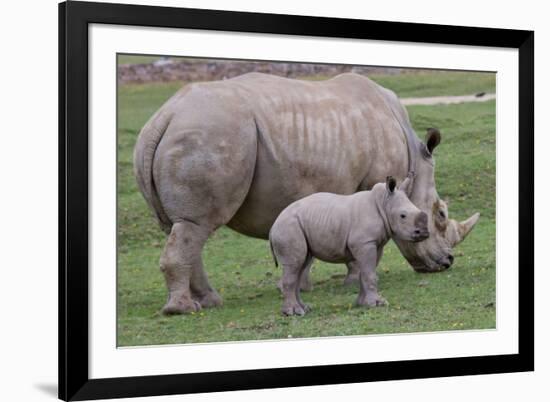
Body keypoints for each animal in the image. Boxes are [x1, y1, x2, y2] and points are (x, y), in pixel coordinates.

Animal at [272, 176, 432, 318]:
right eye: (403, 216)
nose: (424, 233)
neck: (383, 203)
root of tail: (274, 225)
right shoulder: (364, 243)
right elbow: (369, 273)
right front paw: (377, 304)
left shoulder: (375, 244)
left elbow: (366, 272)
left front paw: (363, 303)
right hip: (288, 227)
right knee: (294, 264)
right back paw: (293, 313)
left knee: (301, 264)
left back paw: (304, 308)